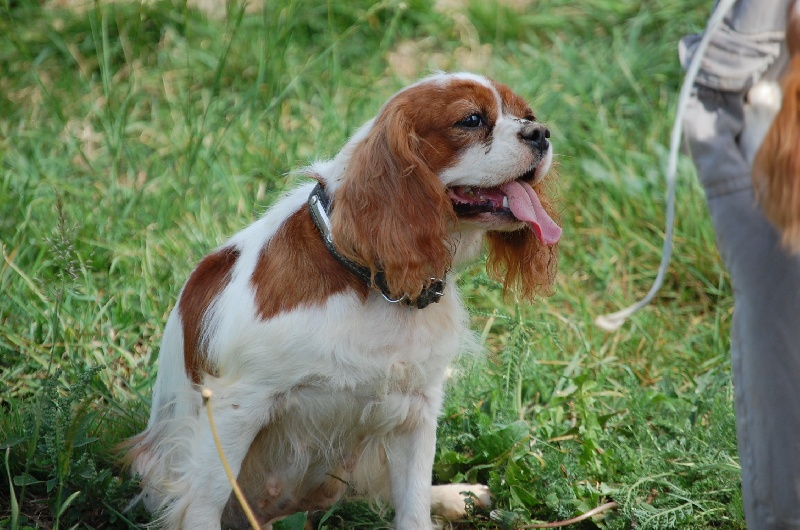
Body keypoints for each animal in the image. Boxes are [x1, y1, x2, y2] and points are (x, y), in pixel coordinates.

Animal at [126, 72, 564, 524]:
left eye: (528, 115)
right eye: (472, 119)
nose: (541, 133)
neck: (370, 277)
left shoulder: (416, 410)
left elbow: (412, 506)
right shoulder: (236, 405)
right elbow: (205, 501)